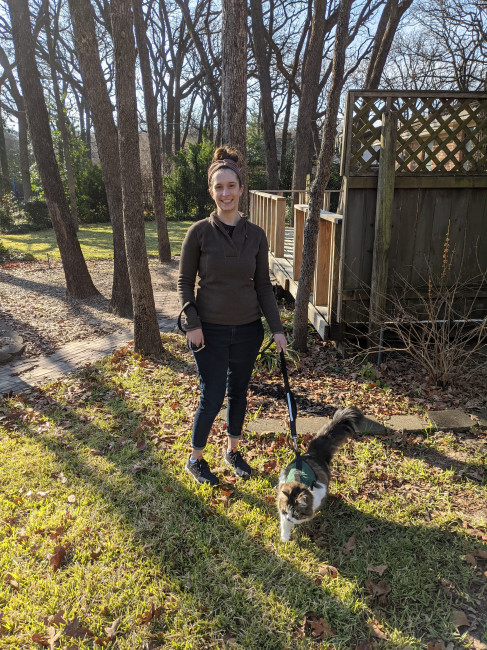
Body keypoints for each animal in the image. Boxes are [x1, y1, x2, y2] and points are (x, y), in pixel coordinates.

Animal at [278, 404, 362, 540]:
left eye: (295, 513)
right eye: (286, 511)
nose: (289, 518)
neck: (298, 485)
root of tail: (313, 453)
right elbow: (284, 525)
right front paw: (285, 538)